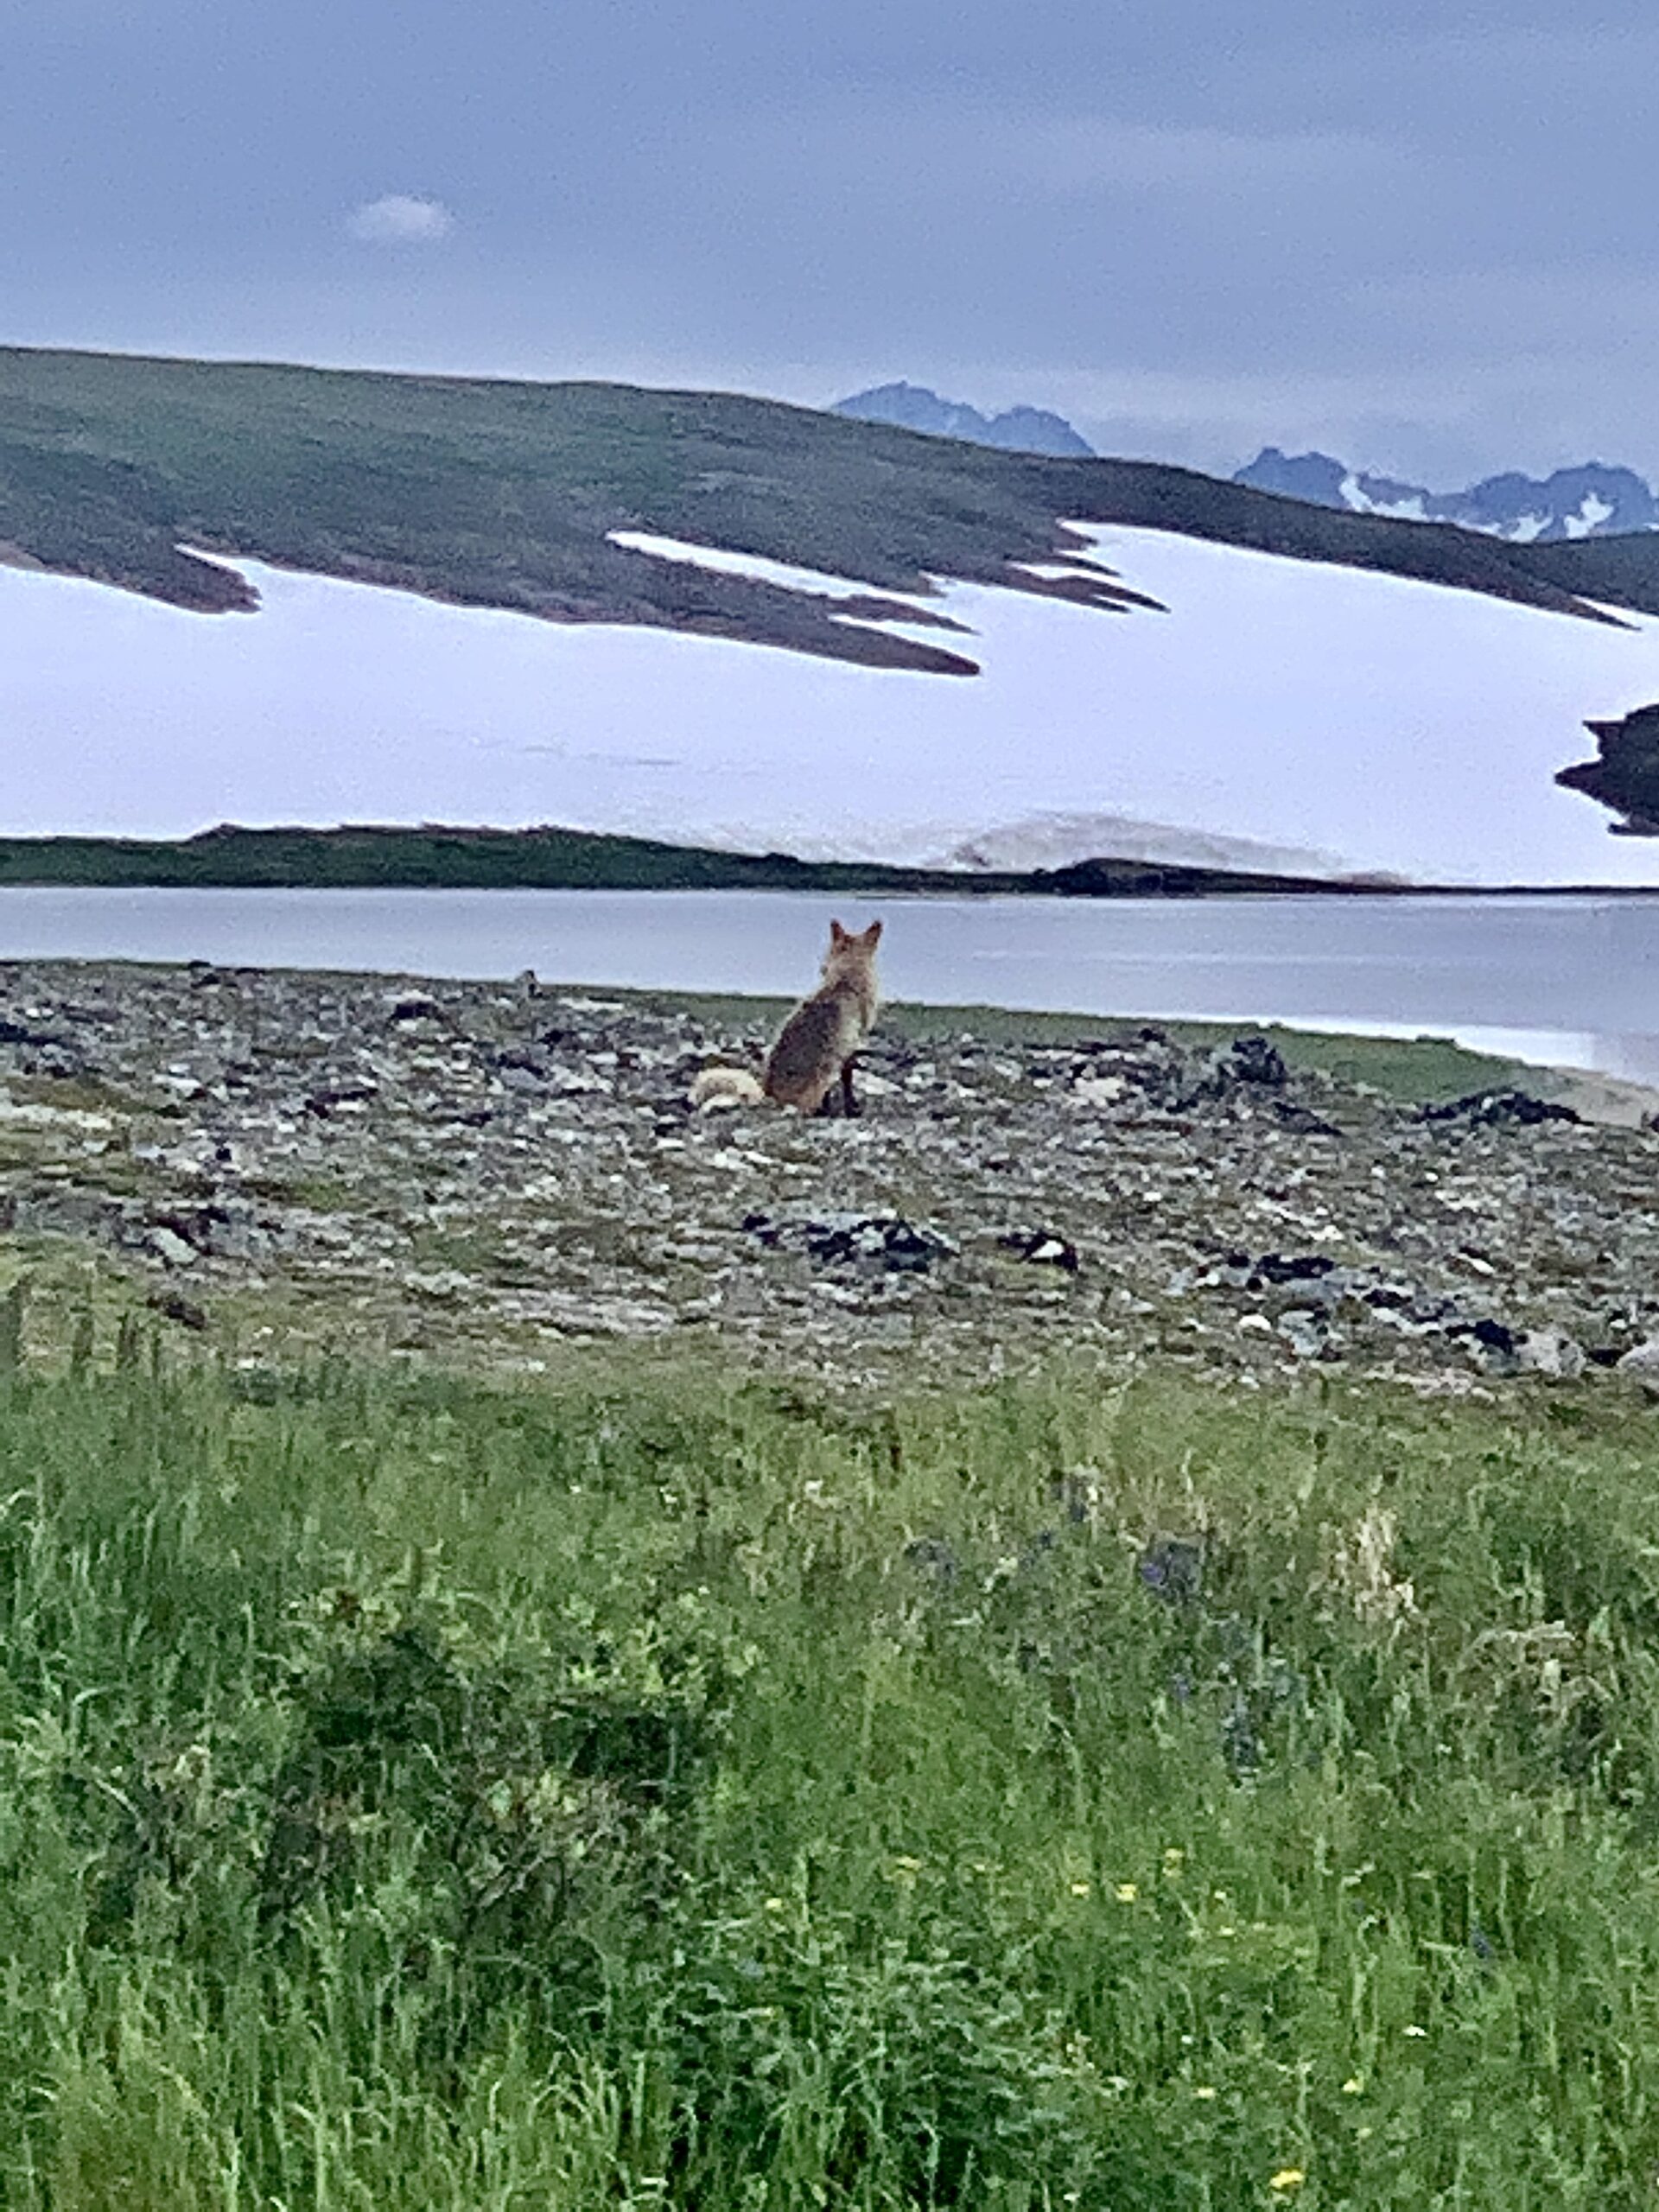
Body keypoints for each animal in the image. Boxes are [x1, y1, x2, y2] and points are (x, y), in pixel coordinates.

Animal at [691, 918, 883, 1117]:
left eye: (827, 955)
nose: (821, 968)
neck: (845, 981)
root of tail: (768, 1094)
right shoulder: (851, 1046)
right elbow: (847, 1080)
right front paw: (850, 1109)